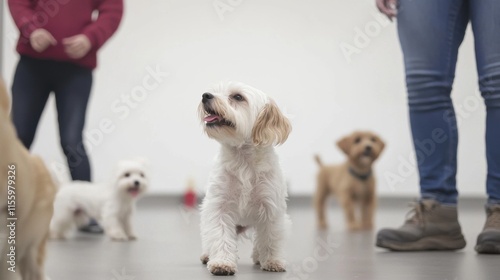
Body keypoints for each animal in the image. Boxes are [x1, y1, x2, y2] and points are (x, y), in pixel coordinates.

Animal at [198, 81, 292, 276]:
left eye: (238, 97)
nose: (205, 95)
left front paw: (272, 260)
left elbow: (270, 238)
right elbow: (220, 236)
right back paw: (207, 254)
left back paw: (258, 256)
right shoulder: (218, 207)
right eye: (215, 91)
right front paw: (221, 262)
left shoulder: (271, 209)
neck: (243, 162)